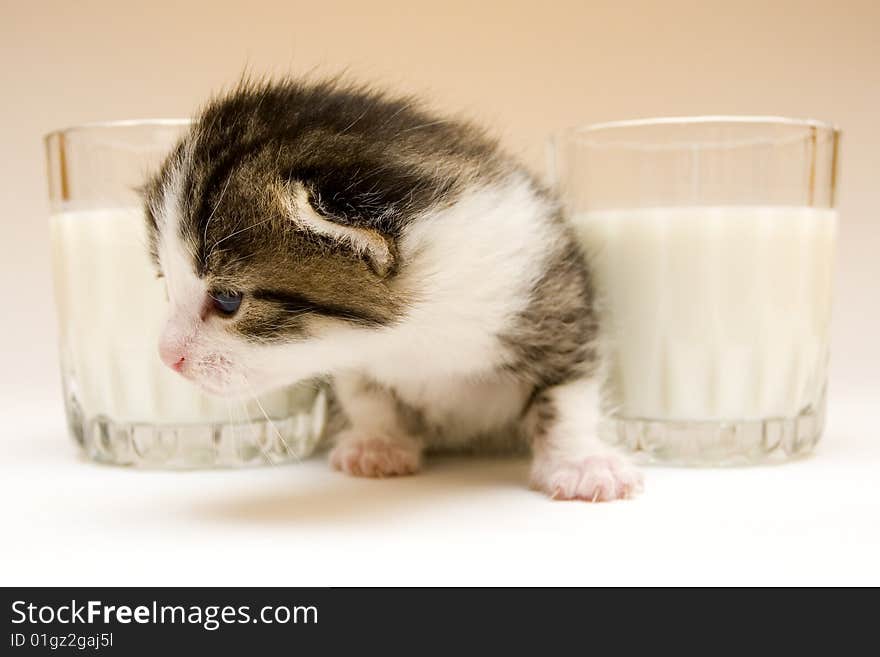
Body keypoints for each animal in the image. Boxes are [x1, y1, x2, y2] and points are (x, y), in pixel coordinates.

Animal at [143, 79, 640, 500]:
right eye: (167, 285)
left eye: (228, 300)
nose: (167, 357)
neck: (414, 333)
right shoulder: (358, 362)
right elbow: (365, 393)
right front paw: (378, 443)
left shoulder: (555, 291)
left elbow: (569, 392)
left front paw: (581, 462)